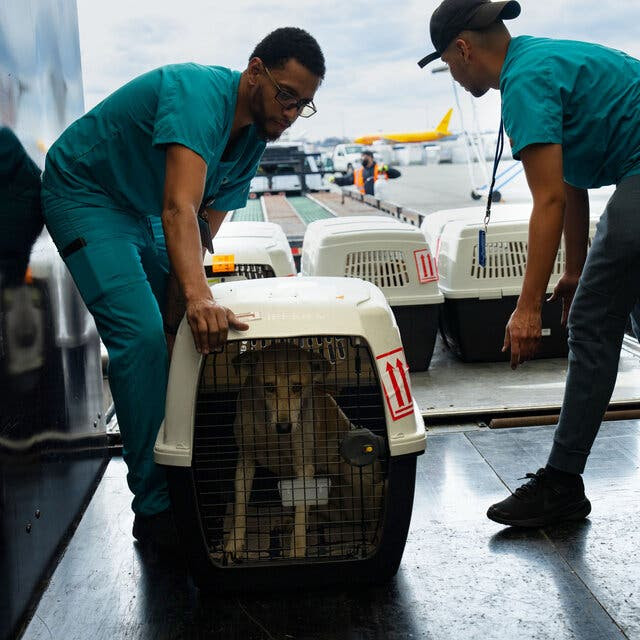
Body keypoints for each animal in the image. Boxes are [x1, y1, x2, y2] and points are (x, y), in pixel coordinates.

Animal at [192, 336, 388, 564]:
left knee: (365, 511)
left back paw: (370, 537)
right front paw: (233, 546)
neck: (270, 430)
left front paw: (297, 554)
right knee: (326, 516)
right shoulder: (245, 462)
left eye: (297, 387)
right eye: (268, 387)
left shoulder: (304, 466)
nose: (284, 427)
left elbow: (301, 518)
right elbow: (240, 508)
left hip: (355, 471)